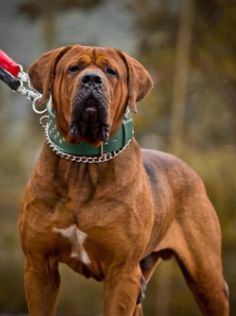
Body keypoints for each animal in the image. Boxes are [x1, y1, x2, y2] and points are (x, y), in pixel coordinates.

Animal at [18, 45, 229, 316]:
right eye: (74, 68)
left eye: (111, 72)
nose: (92, 79)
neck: (83, 163)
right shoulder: (39, 267)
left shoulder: (122, 271)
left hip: (207, 278)